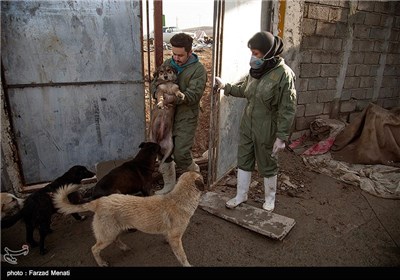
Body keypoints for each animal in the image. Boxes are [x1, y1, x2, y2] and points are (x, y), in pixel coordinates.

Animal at [53, 171, 205, 266]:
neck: (180, 198)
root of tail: (99, 202)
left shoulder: (172, 236)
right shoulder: (176, 238)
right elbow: (183, 256)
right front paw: (188, 265)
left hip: (114, 231)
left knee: (116, 240)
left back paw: (124, 247)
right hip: (107, 236)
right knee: (94, 249)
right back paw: (101, 263)